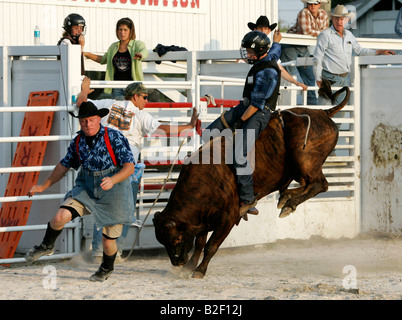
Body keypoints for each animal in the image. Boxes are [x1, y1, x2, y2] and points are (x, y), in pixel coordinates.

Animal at [152, 84, 350, 278]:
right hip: (299, 169)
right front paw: (189, 267)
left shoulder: (228, 217)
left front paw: (199, 271)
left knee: (319, 184)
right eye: (162, 241)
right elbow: (200, 243)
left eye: (177, 238)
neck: (208, 179)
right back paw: (286, 198)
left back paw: (288, 203)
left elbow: (211, 246)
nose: (177, 262)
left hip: (305, 159)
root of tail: (324, 113)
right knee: (307, 185)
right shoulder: (204, 220)